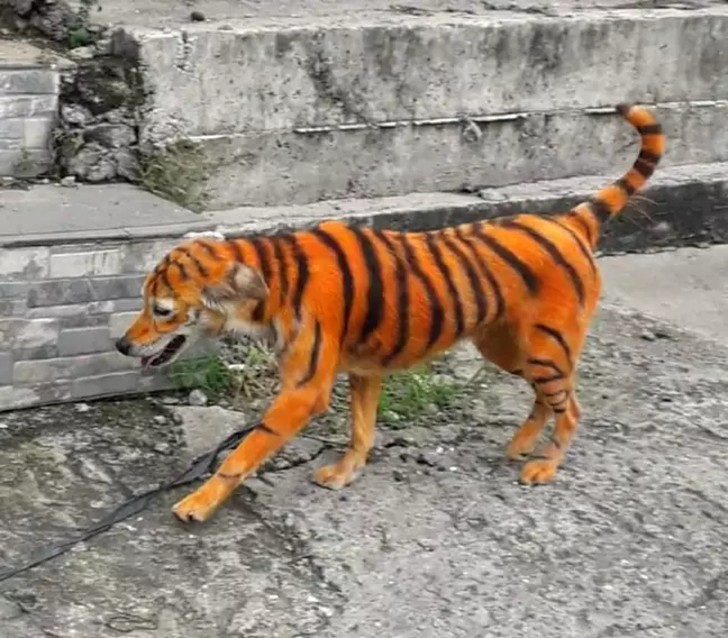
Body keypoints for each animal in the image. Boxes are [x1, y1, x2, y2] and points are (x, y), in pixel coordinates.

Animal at [116, 104, 665, 523]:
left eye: (161, 310)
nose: (121, 344)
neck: (270, 280)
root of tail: (570, 220)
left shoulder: (305, 389)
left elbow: (244, 451)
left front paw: (197, 503)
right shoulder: (363, 370)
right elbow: (361, 429)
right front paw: (344, 474)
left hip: (545, 347)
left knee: (571, 406)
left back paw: (544, 466)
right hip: (509, 347)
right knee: (548, 398)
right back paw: (520, 446)